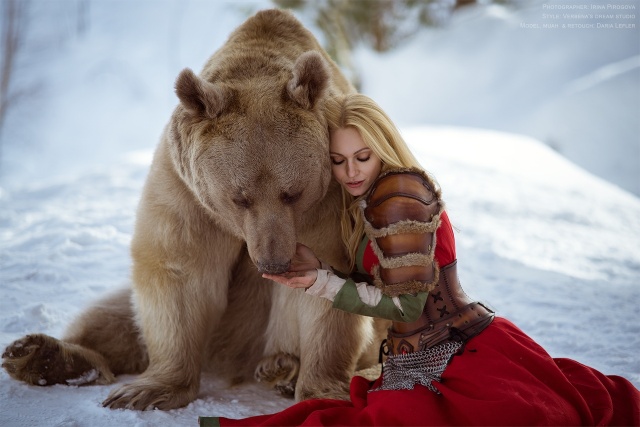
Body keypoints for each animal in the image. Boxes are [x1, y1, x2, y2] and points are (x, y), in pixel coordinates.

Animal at [1, 9, 380, 412]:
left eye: (292, 193)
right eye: (239, 197)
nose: (273, 263)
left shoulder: (327, 204)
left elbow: (327, 289)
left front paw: (322, 387)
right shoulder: (186, 193)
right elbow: (179, 270)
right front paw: (144, 390)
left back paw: (283, 367)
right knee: (110, 317)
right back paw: (40, 355)